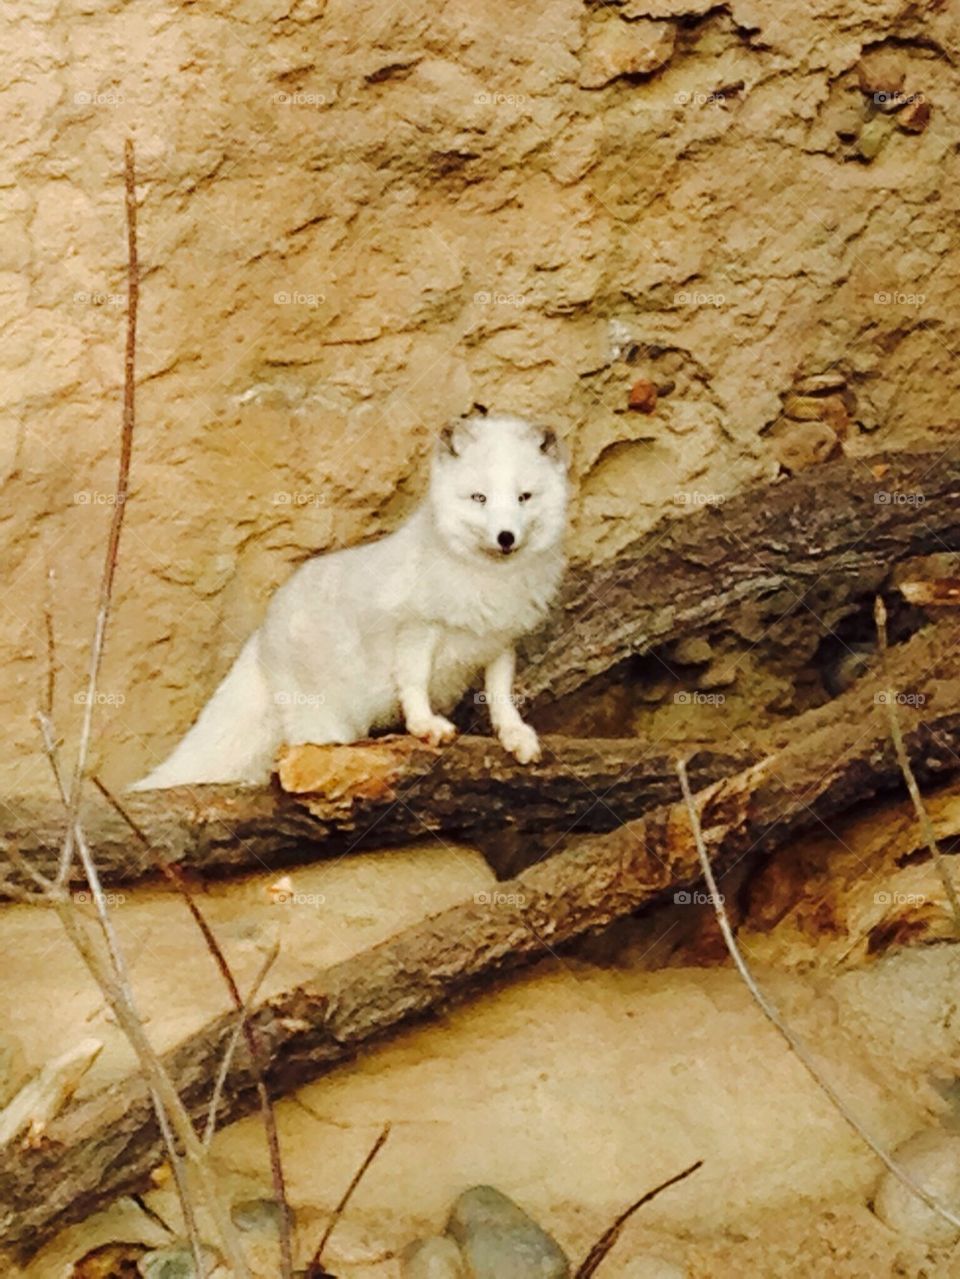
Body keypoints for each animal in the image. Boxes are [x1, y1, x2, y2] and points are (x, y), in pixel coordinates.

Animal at [130, 413, 569, 789]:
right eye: (479, 498)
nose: (505, 537)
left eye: (524, 497)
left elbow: (500, 695)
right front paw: (425, 726)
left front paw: (516, 734)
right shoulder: (417, 628)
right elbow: (414, 682)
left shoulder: (500, 640)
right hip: (325, 718)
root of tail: (262, 634)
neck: (489, 577)